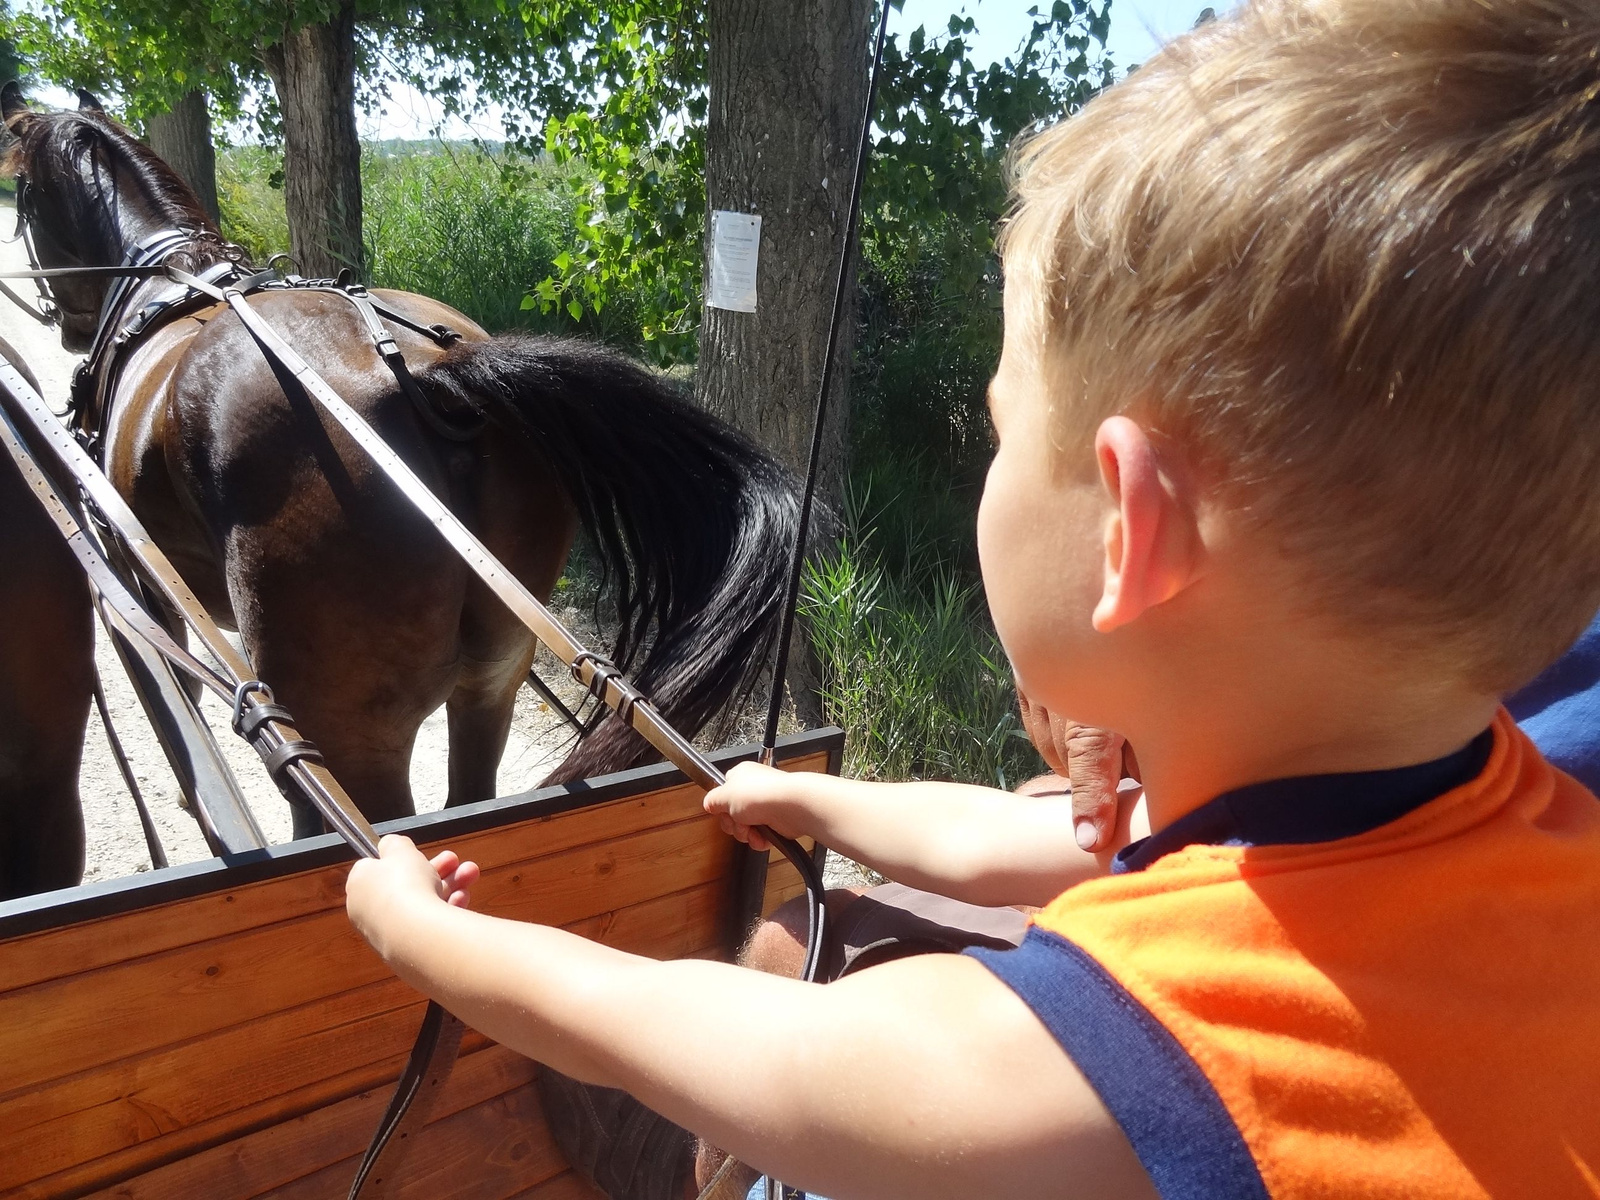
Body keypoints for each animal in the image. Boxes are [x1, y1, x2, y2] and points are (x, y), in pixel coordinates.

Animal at [1, 86, 800, 838]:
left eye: (24, 195)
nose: (64, 326)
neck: (170, 277)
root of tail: (425, 378)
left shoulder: (144, 575)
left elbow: (180, 689)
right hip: (492, 682)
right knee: (470, 793)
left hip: (348, 732)